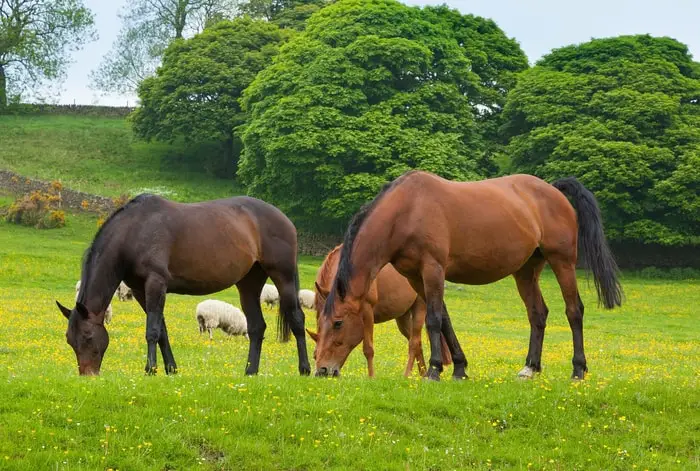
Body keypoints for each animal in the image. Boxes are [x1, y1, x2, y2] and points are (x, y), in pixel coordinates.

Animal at [58, 194, 310, 378]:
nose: (87, 374)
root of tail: (284, 219)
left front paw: (150, 370)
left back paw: (306, 369)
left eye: (88, 337)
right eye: (70, 340)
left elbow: (152, 330)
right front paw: (170, 369)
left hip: (284, 277)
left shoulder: (156, 283)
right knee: (257, 327)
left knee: (297, 319)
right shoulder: (140, 290)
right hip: (249, 283)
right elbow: (162, 331)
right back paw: (250, 371)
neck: (135, 231)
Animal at [308, 245, 452, 378]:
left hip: (419, 308)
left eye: (338, 323)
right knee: (417, 343)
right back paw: (422, 375)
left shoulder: (367, 312)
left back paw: (406, 376)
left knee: (414, 343)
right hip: (403, 317)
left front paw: (371, 377)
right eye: (320, 324)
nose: (322, 371)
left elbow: (368, 349)